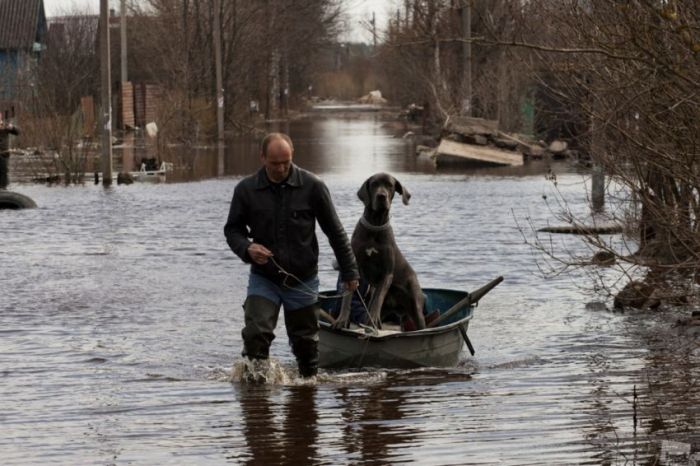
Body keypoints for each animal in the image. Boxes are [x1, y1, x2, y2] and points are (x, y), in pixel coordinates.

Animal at [334, 173, 426, 330]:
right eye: (374, 184)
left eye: (390, 185)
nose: (381, 196)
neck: (375, 225)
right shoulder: (354, 268)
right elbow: (348, 295)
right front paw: (342, 319)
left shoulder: (386, 273)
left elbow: (378, 298)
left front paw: (373, 320)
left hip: (416, 305)